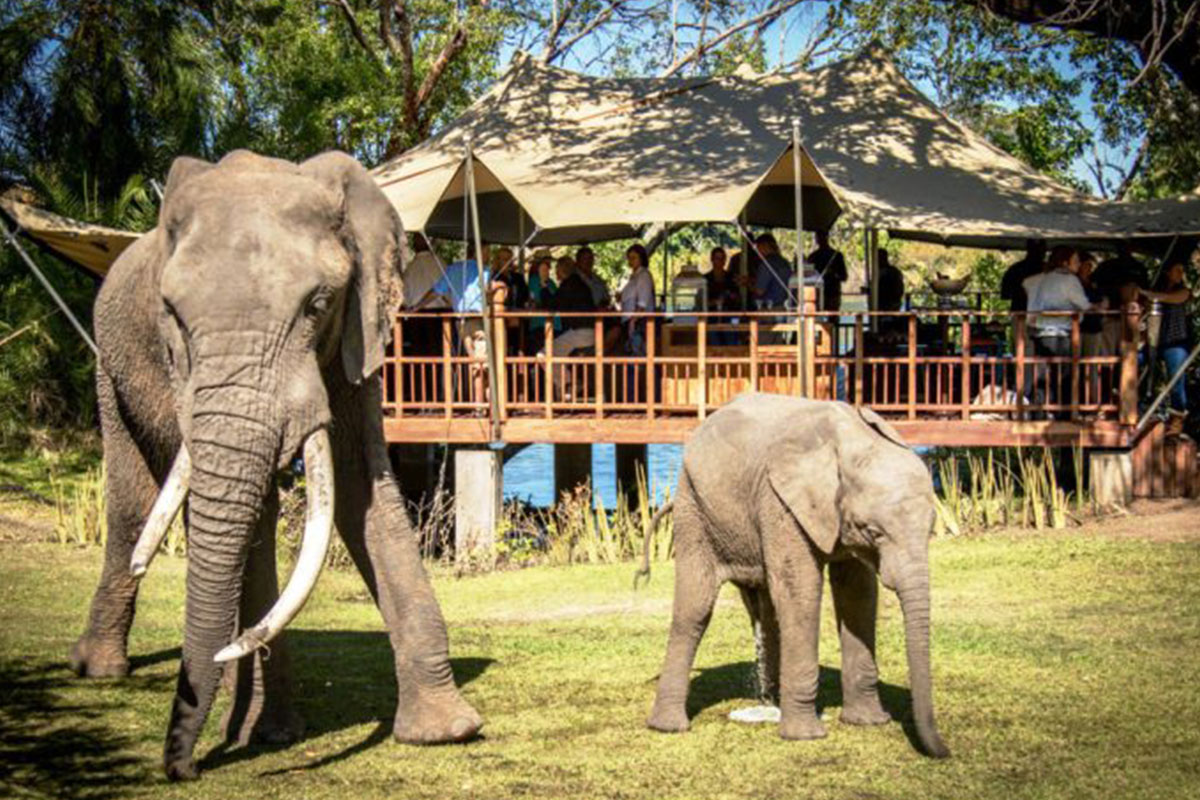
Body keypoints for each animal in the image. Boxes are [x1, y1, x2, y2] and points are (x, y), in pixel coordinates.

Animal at [67, 150, 482, 780]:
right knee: (137, 510)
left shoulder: (354, 332)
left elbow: (362, 486)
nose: (183, 770)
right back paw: (104, 670)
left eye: (317, 306)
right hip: (108, 368)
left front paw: (445, 731)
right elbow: (255, 512)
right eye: (172, 315)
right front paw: (263, 733)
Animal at [638, 393, 950, 758]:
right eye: (874, 532)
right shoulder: (781, 502)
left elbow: (858, 595)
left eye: (931, 527)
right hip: (693, 505)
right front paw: (805, 736)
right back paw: (669, 726)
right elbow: (801, 589)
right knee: (695, 608)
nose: (944, 752)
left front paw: (868, 722)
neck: (850, 441)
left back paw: (770, 704)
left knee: (767, 610)